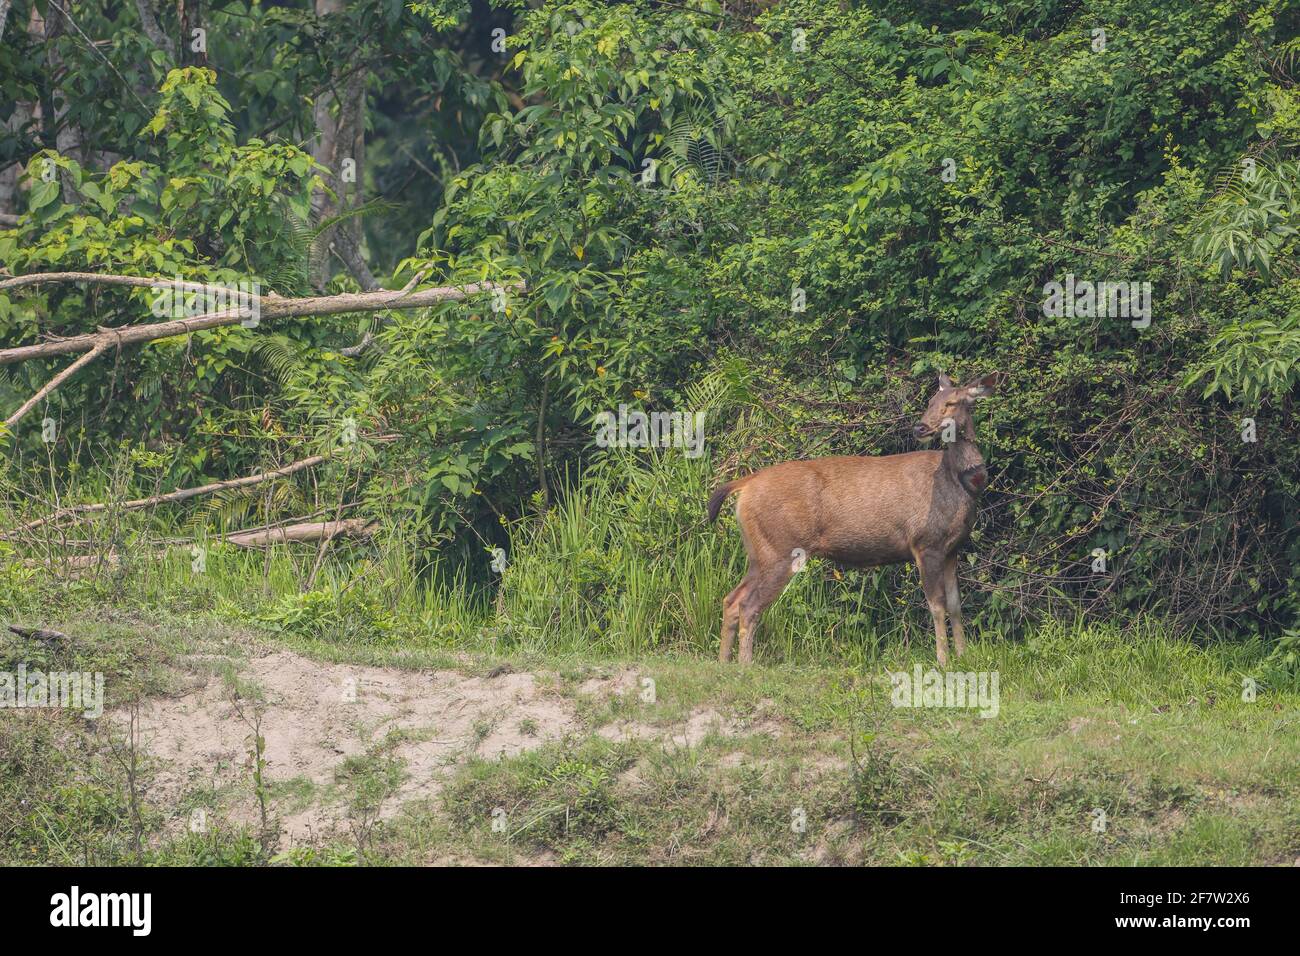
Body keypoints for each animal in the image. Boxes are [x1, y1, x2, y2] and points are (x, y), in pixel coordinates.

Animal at [707, 369, 998, 671]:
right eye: (930, 401)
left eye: (951, 402)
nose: (920, 427)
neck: (959, 483)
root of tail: (744, 485)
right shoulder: (926, 542)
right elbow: (937, 604)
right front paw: (943, 660)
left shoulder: (953, 548)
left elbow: (955, 604)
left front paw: (964, 656)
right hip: (780, 548)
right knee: (748, 606)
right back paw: (745, 664)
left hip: (759, 552)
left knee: (732, 599)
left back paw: (724, 662)